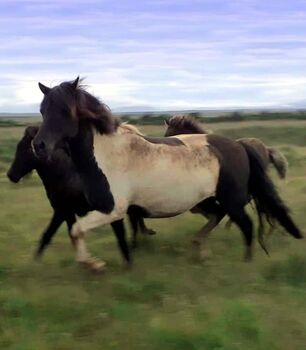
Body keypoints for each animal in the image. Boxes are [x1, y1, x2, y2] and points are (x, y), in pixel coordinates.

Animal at [31, 78, 302, 270]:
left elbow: (77, 230)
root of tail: (238, 146)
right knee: (220, 217)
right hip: (207, 201)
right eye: (43, 110)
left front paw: (94, 264)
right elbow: (100, 236)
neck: (106, 156)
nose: (39, 146)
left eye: (65, 111)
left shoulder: (113, 209)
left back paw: (245, 262)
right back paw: (200, 249)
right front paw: (105, 263)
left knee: (246, 225)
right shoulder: (112, 211)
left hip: (231, 201)